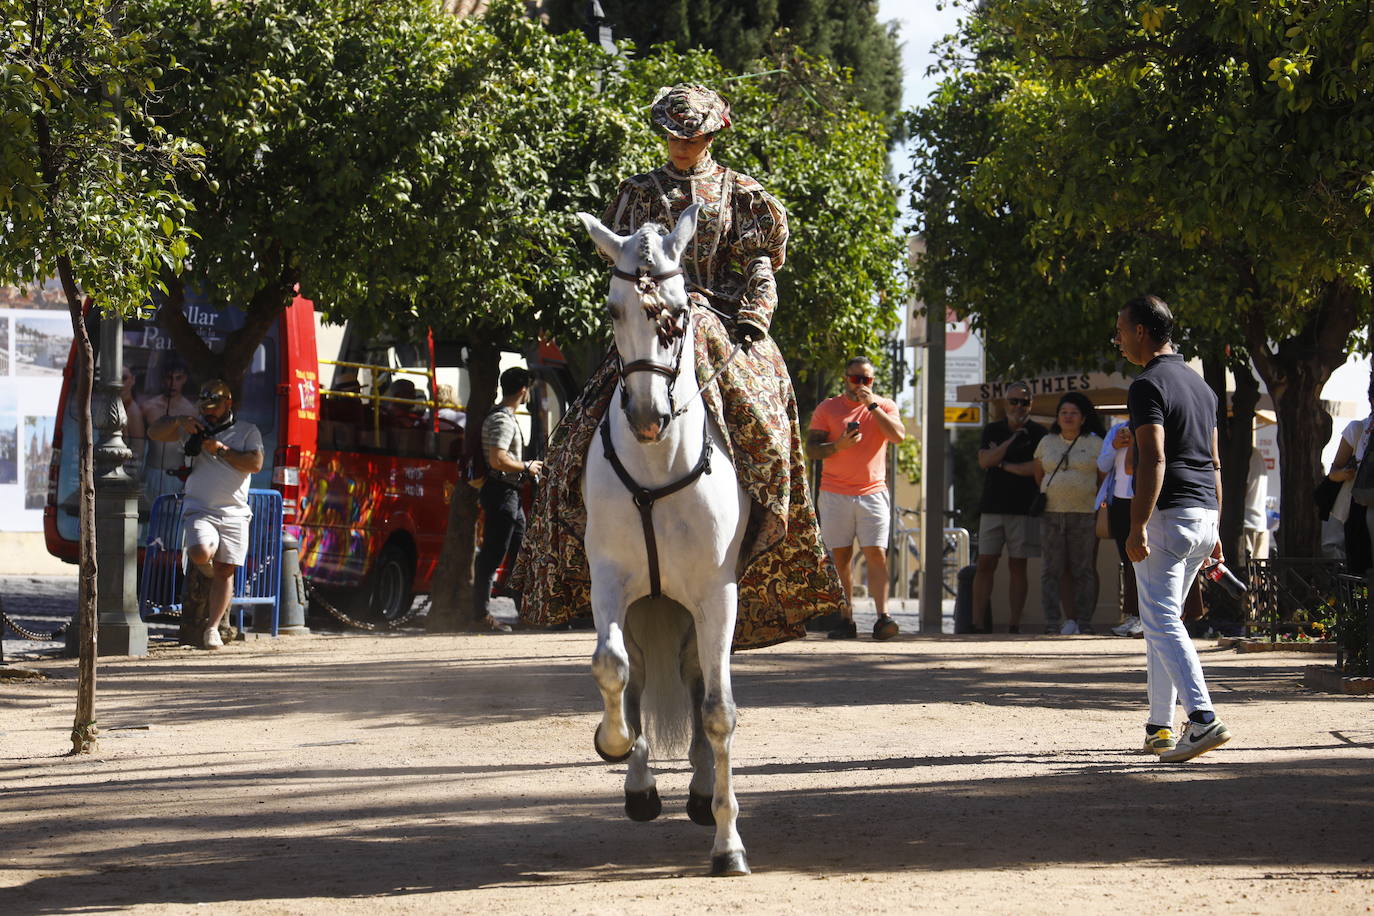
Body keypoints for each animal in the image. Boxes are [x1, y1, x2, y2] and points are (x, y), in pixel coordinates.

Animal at [577, 204, 752, 878]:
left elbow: (719, 712)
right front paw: (614, 743)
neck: (656, 468)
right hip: (649, 604)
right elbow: (612, 666)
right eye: (613, 310)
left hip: (694, 610)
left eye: (678, 310)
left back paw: (702, 796)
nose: (647, 417)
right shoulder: (610, 579)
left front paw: (728, 844)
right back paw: (641, 786)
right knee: (641, 673)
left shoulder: (716, 595)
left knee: (698, 683)